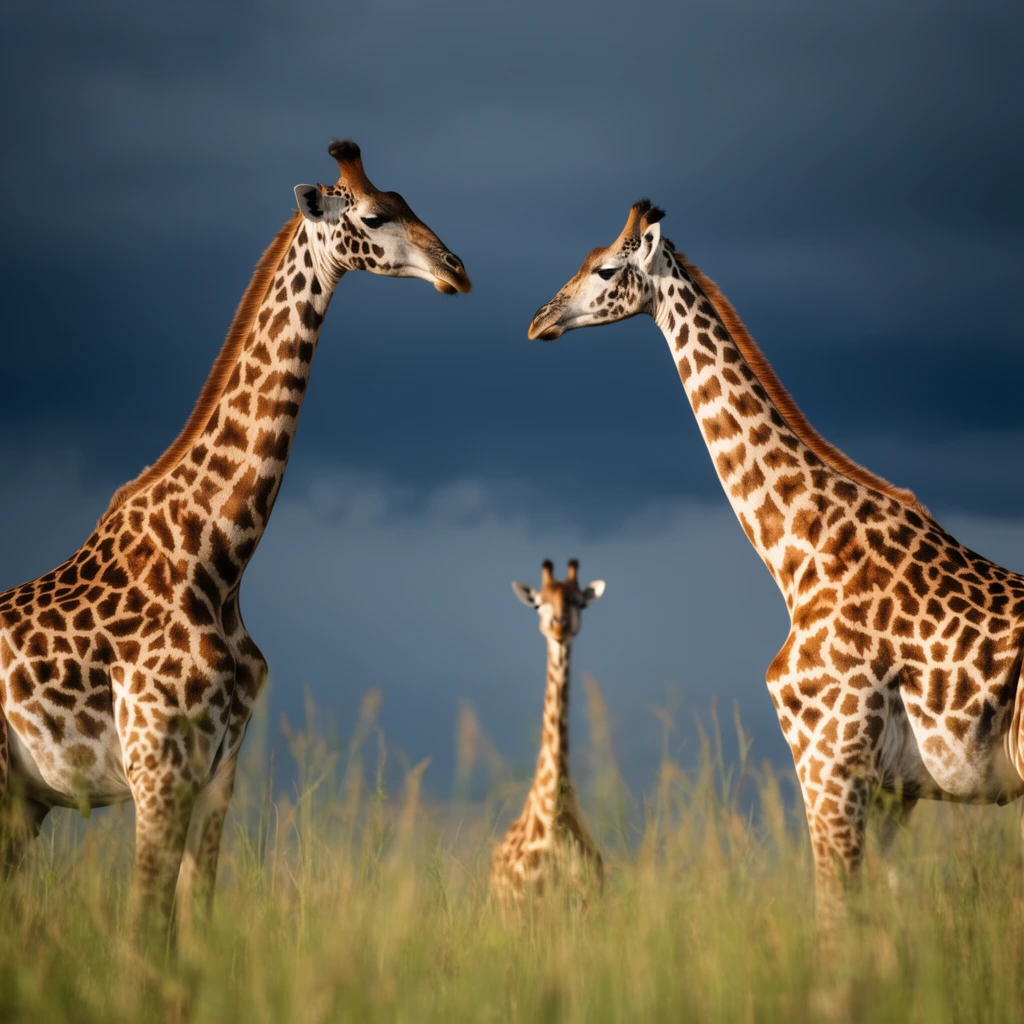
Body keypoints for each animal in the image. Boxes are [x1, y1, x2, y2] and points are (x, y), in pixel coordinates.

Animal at [0, 139, 470, 933]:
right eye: (376, 215)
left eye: (409, 200)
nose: (456, 270)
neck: (216, 558)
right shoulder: (157, 769)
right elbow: (144, 929)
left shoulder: (219, 772)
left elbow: (191, 923)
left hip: (24, 802)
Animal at [527, 200, 1024, 931]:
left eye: (607, 269)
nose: (540, 320)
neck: (799, 552)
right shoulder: (890, 791)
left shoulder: (830, 762)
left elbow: (833, 917)